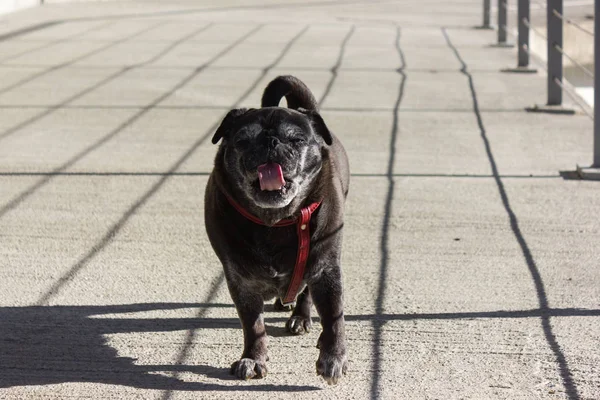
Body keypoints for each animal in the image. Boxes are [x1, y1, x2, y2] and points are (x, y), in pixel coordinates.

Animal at [205, 75, 350, 384]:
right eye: (242, 141)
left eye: (296, 139)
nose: (270, 142)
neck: (275, 222)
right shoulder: (241, 282)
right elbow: (253, 325)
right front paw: (253, 358)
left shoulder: (326, 270)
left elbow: (334, 318)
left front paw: (333, 357)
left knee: (306, 293)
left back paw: (301, 316)